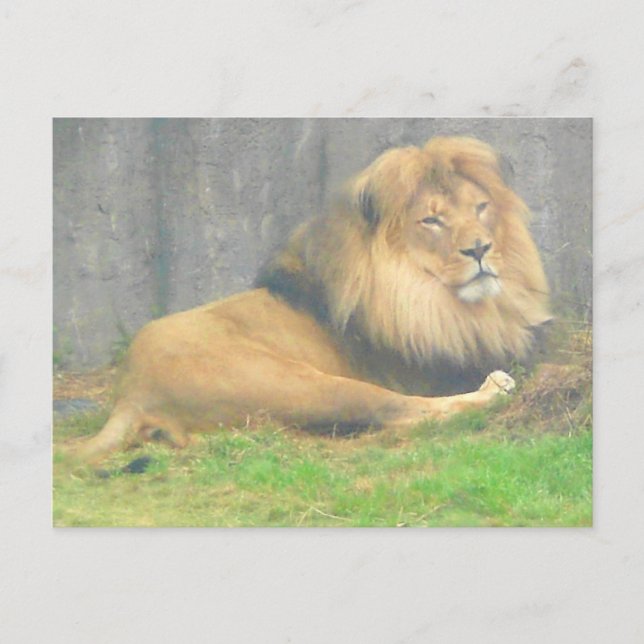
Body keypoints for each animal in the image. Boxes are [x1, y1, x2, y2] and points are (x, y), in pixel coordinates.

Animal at [69, 136, 551, 462]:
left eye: (481, 208)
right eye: (431, 220)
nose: (481, 249)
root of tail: (131, 392)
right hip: (303, 383)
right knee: (402, 411)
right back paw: (494, 389)